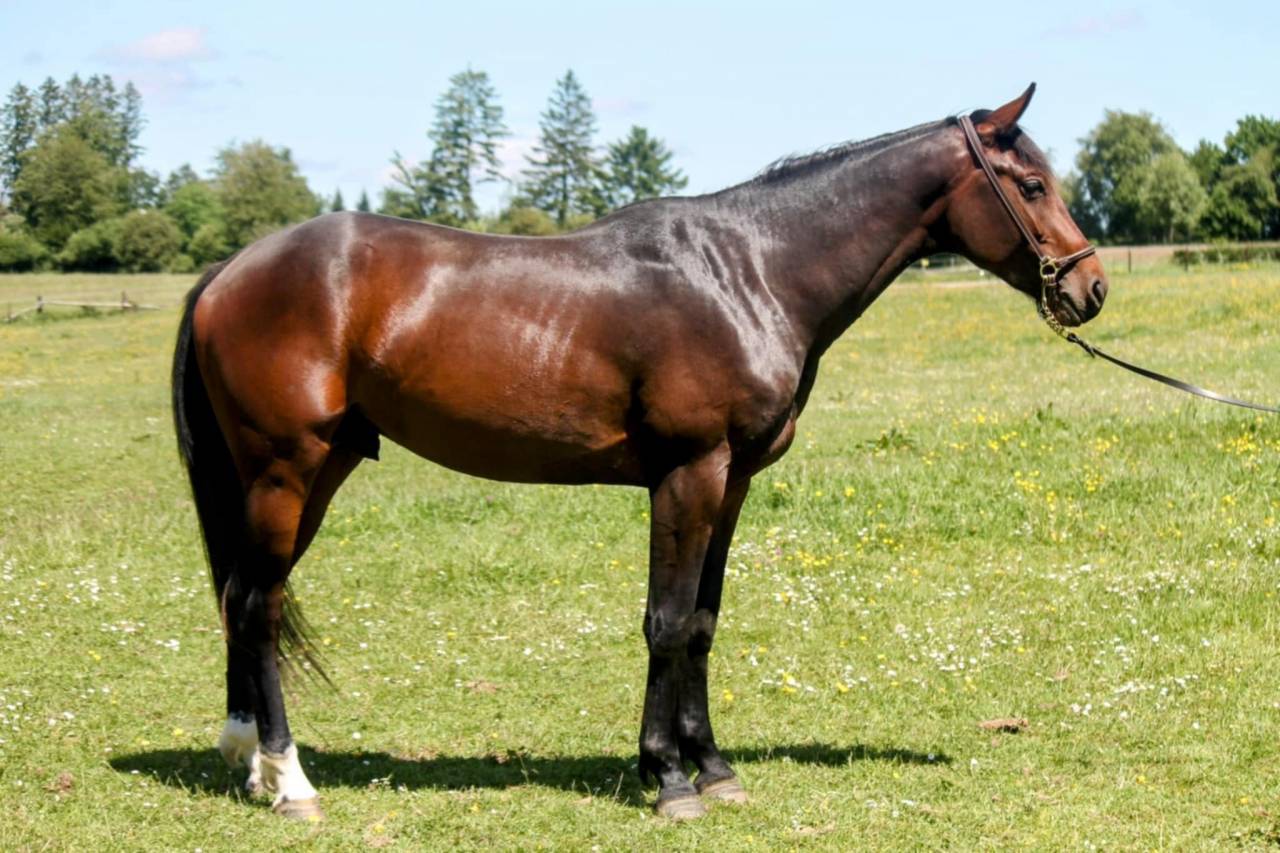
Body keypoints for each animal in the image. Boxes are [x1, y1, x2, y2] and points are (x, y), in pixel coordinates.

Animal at [171, 83, 1107, 821]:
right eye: (1031, 183)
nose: (1090, 288)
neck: (749, 271)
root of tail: (229, 269)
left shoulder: (732, 481)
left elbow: (700, 622)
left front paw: (713, 767)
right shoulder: (686, 474)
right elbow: (665, 620)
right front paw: (668, 779)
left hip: (315, 471)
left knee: (244, 598)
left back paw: (252, 764)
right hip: (285, 470)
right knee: (256, 606)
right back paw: (291, 781)